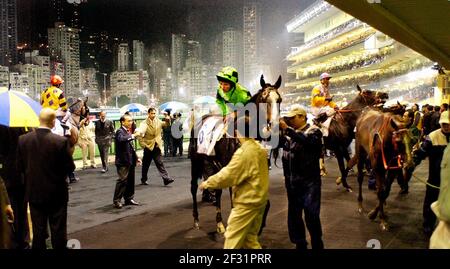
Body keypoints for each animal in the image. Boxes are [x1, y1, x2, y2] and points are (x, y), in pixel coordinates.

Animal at [189, 74, 282, 231]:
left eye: (279, 99)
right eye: (264, 99)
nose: (275, 126)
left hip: (215, 163)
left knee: (217, 189)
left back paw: (219, 222)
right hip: (196, 161)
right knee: (194, 187)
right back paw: (195, 219)